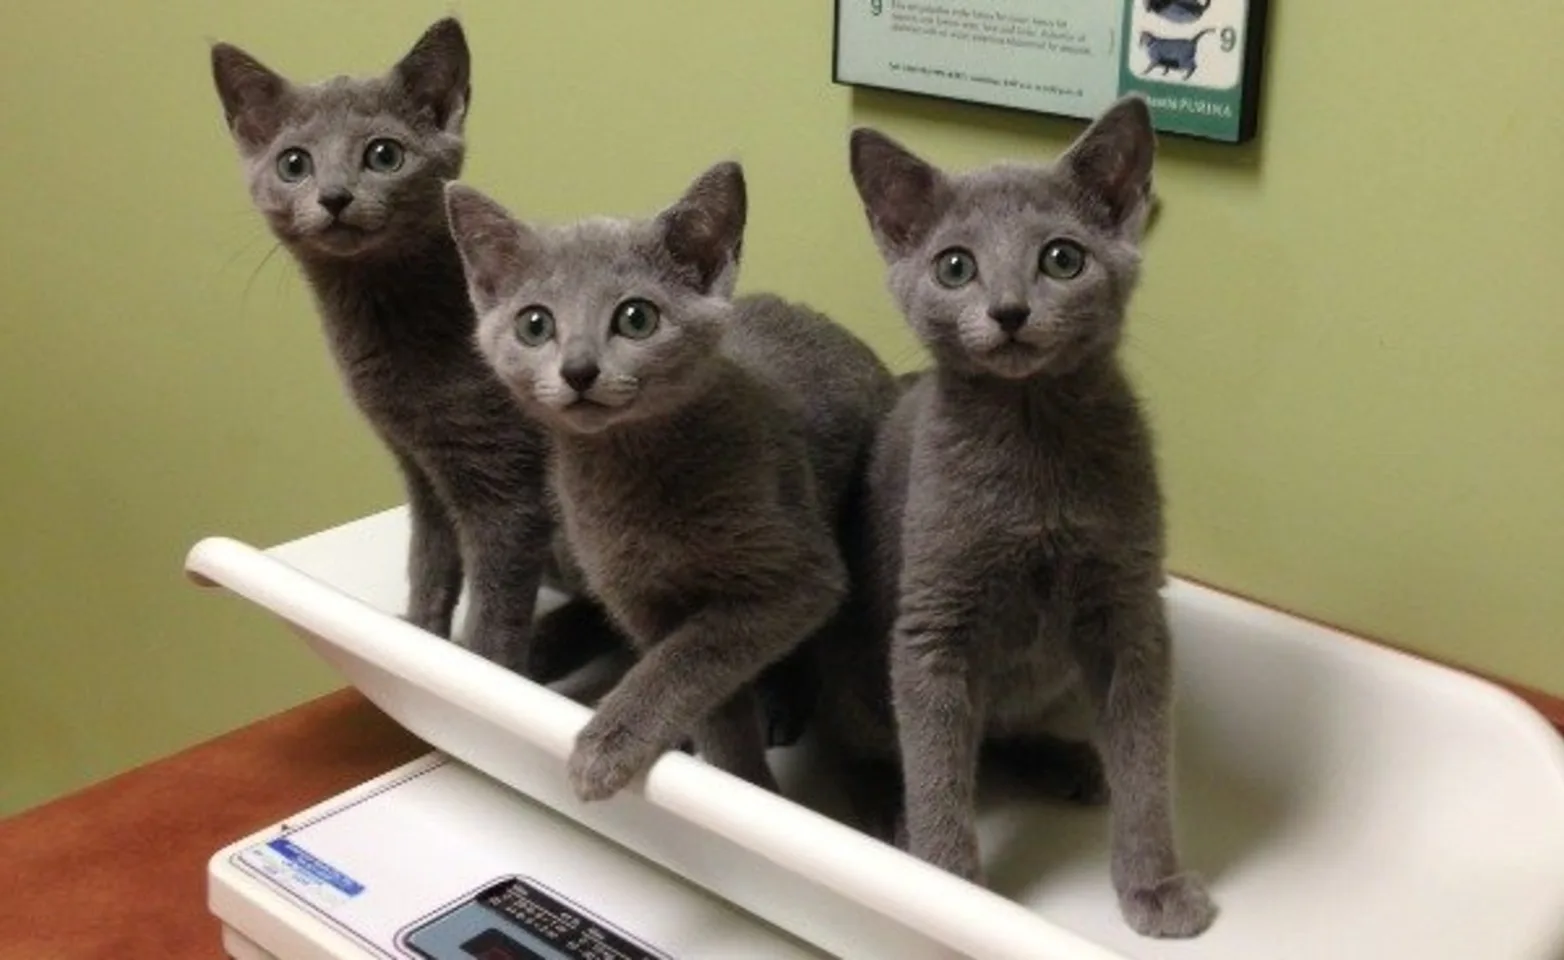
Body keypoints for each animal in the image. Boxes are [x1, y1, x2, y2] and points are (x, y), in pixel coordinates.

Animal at [211, 18, 613, 681]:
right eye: (294, 163)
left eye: (383, 154)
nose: (335, 196)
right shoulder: (419, 469)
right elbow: (429, 563)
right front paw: (418, 640)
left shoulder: (506, 487)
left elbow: (494, 607)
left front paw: (480, 669)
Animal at [447, 161, 900, 800]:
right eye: (534, 325)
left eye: (636, 318)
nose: (579, 370)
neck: (637, 478)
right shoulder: (640, 600)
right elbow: (704, 691)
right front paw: (736, 772)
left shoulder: (798, 579)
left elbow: (692, 656)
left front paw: (613, 748)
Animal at [832, 97, 1219, 938]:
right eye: (954, 266)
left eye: (1062, 259)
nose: (1009, 311)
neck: (1031, 432)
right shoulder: (933, 623)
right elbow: (937, 765)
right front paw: (944, 888)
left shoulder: (1130, 611)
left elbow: (1145, 757)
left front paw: (1156, 885)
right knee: (875, 742)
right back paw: (882, 805)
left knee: (998, 731)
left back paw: (1067, 761)